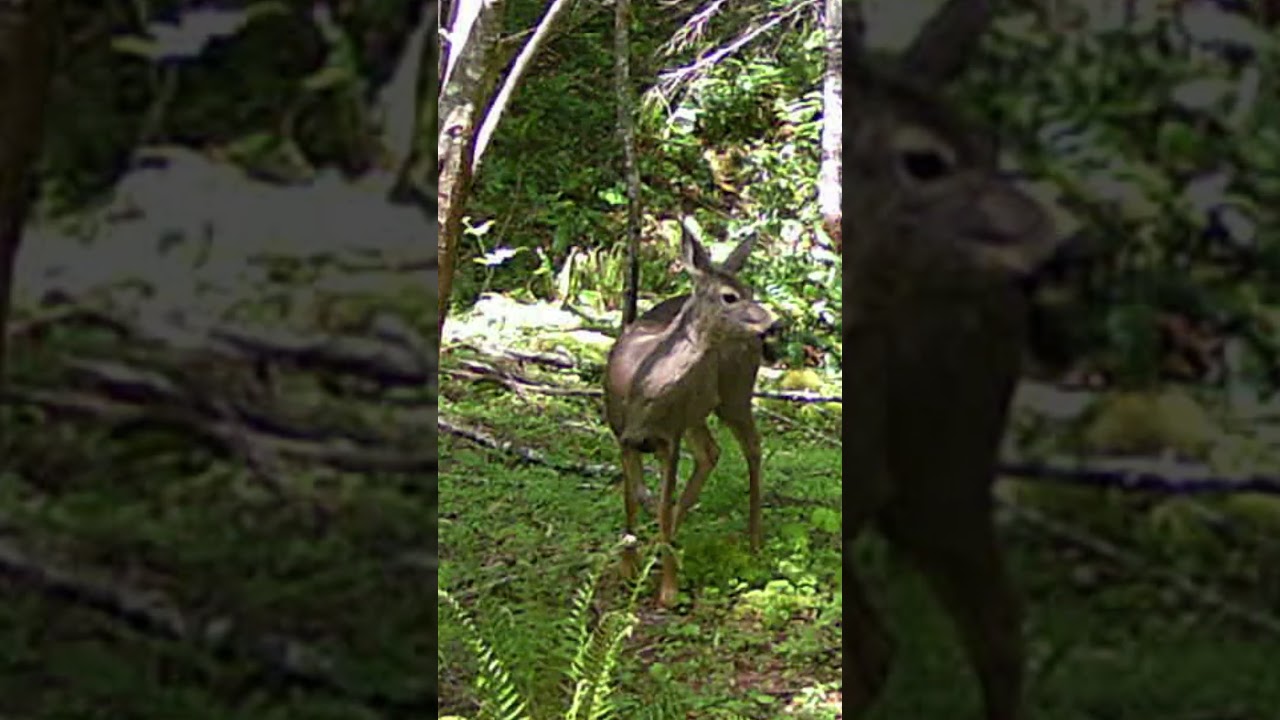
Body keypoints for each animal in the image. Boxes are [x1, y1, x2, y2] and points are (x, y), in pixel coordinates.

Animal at [604, 217, 776, 607]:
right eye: (730, 296)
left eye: (750, 289)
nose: (773, 324)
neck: (642, 389)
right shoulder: (621, 435)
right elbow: (632, 498)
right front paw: (628, 567)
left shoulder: (670, 437)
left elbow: (661, 503)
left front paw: (668, 588)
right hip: (698, 411)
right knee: (711, 452)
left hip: (735, 394)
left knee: (752, 448)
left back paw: (754, 540)